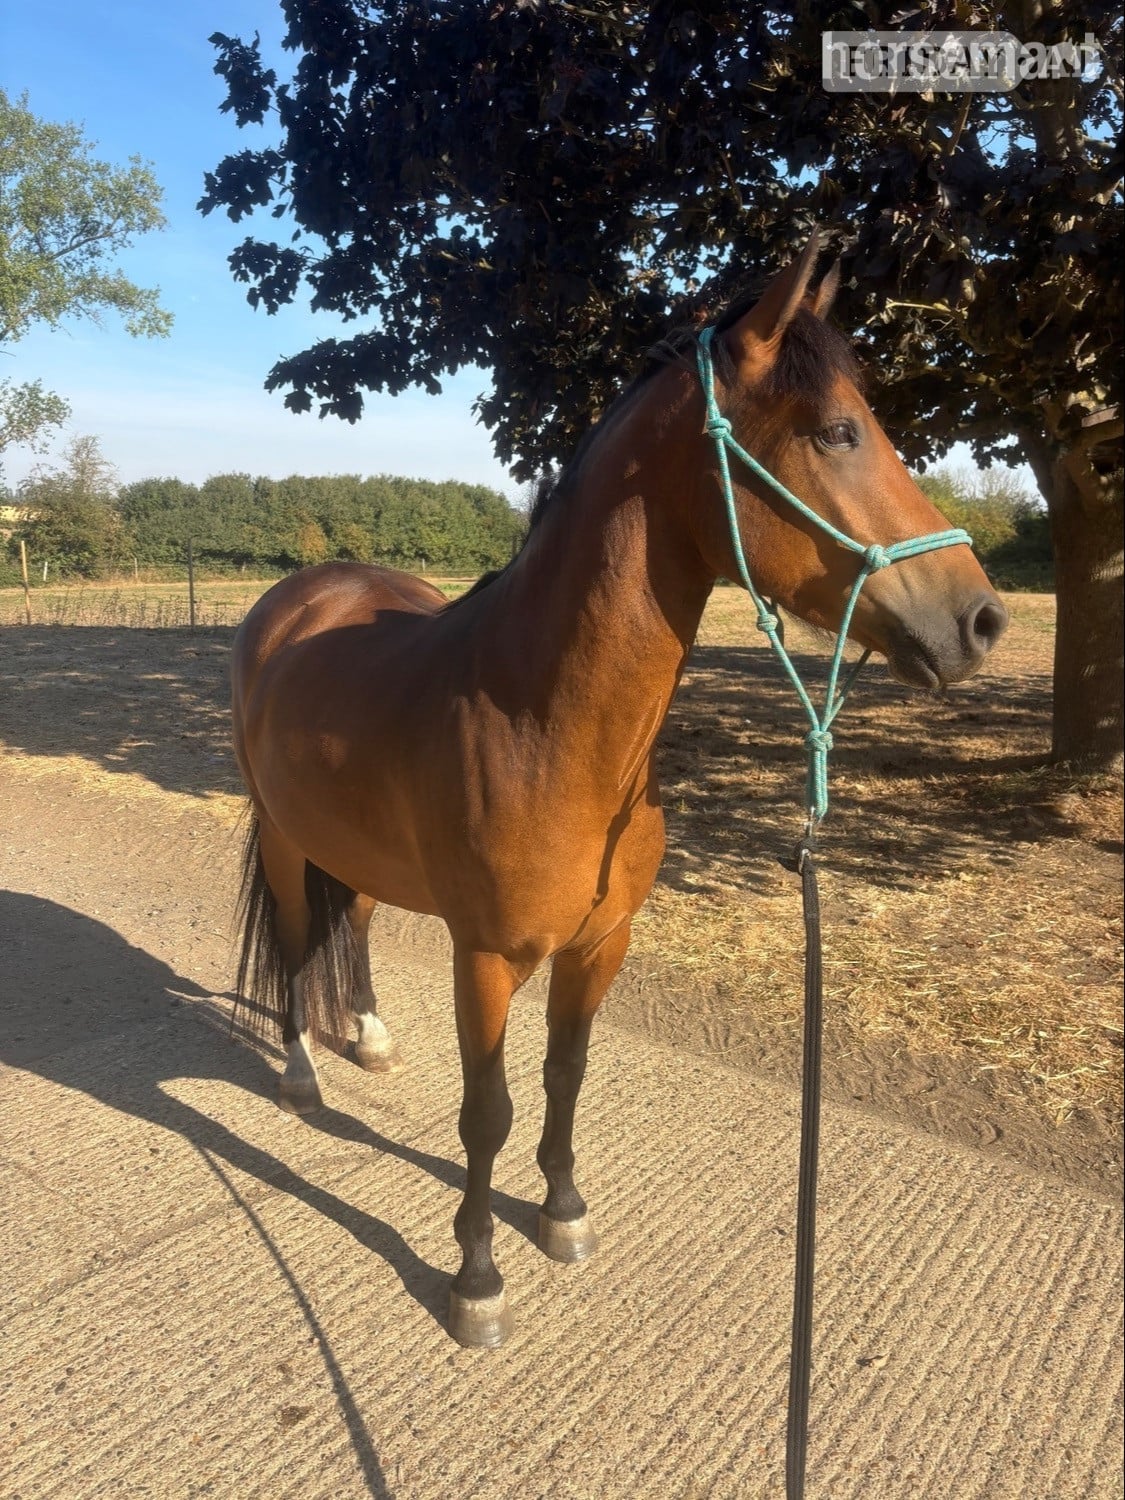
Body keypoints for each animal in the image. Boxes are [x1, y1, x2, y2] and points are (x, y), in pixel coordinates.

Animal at [230, 237, 1007, 1348]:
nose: (980, 620)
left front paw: (561, 1211)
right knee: (298, 943)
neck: (546, 728)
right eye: (837, 431)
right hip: (287, 837)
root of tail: (298, 598)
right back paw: (299, 1068)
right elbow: (488, 1112)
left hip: (355, 843)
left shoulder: (601, 943)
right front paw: (476, 1278)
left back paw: (368, 1036)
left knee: (361, 920)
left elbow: (567, 1076)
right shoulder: (487, 958)